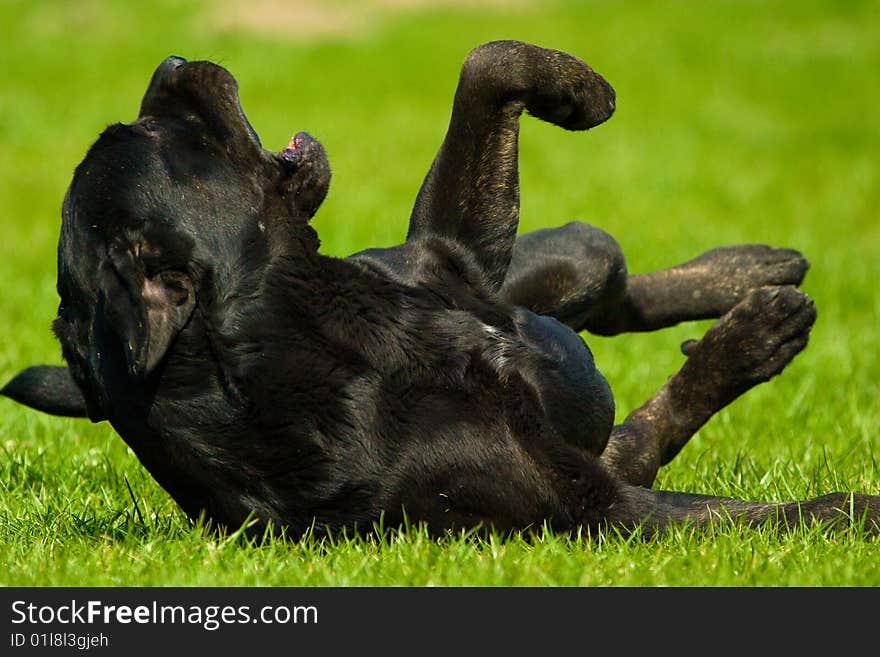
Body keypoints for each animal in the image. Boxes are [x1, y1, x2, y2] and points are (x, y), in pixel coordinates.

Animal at [3, 41, 876, 536]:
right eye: (161, 136)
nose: (172, 64)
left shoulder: (449, 249)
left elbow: (488, 60)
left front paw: (580, 90)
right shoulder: (593, 509)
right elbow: (771, 514)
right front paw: (853, 511)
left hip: (536, 266)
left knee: (609, 276)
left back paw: (755, 274)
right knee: (641, 422)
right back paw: (759, 327)